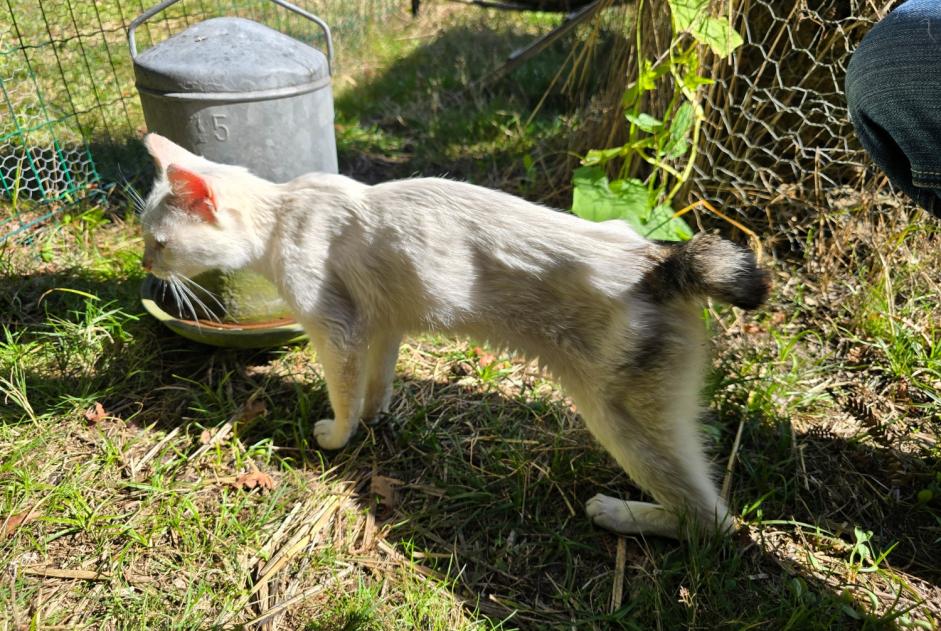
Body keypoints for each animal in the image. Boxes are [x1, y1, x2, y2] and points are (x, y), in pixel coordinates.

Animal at [141, 133, 772, 540]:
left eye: (160, 243)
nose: (145, 264)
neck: (283, 214)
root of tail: (662, 261)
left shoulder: (336, 332)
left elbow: (343, 399)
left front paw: (335, 437)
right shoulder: (381, 327)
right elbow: (375, 387)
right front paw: (374, 419)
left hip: (620, 420)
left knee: (714, 523)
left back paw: (619, 514)